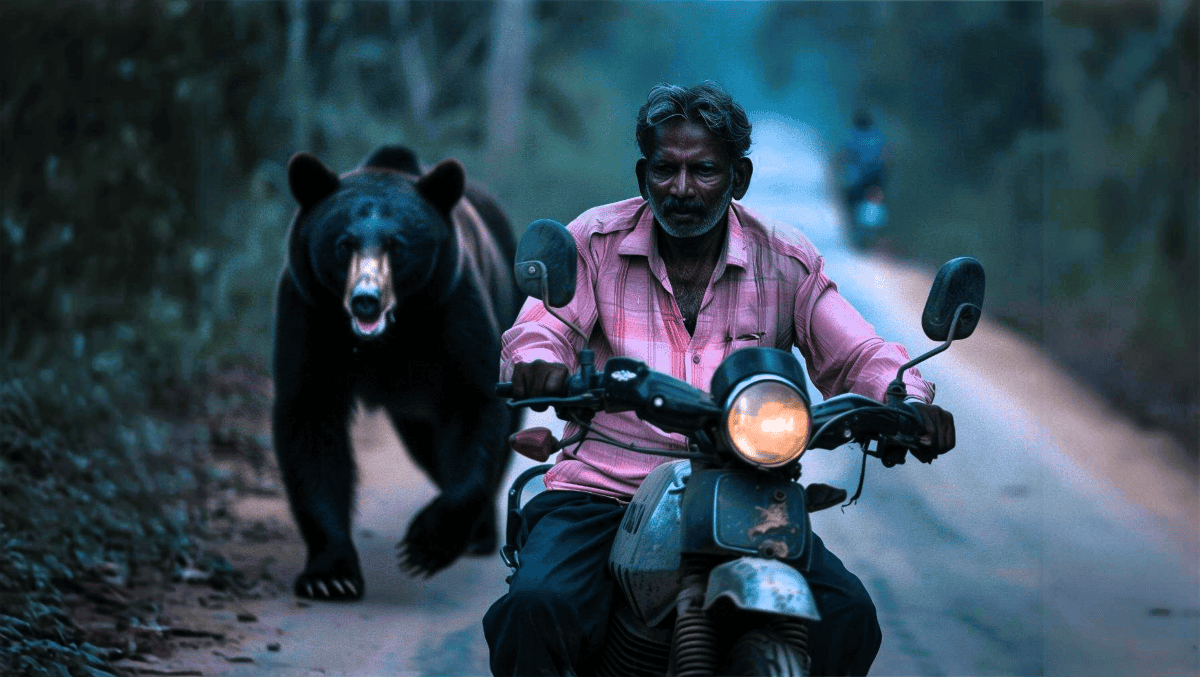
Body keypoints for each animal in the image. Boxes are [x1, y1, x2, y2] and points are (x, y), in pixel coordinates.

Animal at [274, 145, 523, 600]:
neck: (387, 337)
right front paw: (330, 574)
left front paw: (426, 544)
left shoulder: (451, 308)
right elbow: (310, 419)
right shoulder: (311, 313)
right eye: (343, 243)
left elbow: (475, 402)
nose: (366, 299)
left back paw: (479, 533)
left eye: (398, 244)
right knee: (428, 450)